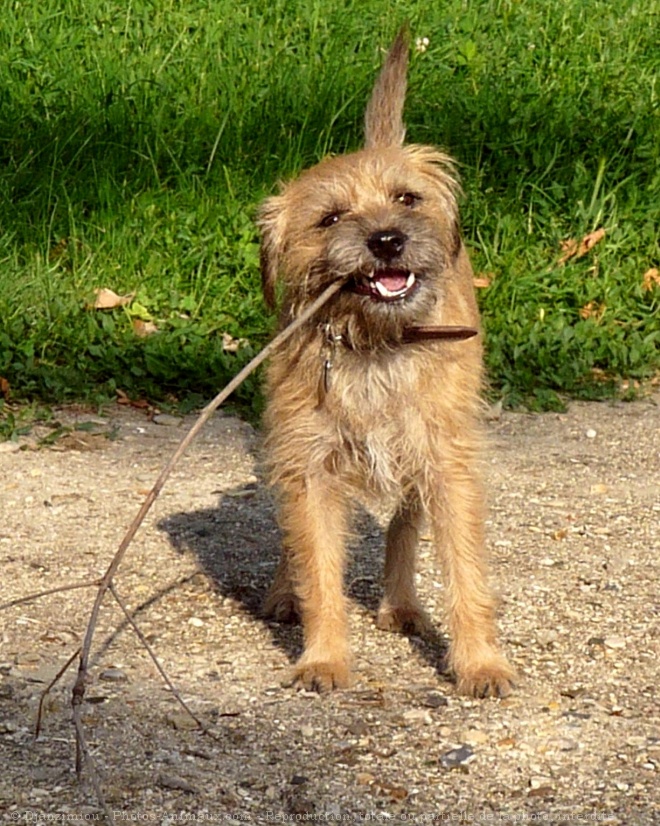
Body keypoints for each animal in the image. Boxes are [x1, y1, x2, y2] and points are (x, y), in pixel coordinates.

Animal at [258, 29, 516, 696]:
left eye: (407, 199)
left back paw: (401, 603)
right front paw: (323, 657)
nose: (386, 239)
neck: (376, 345)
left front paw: (480, 662)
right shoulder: (311, 466)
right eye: (329, 218)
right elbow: (318, 569)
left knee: (403, 524)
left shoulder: (448, 466)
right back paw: (283, 592)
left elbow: (466, 572)